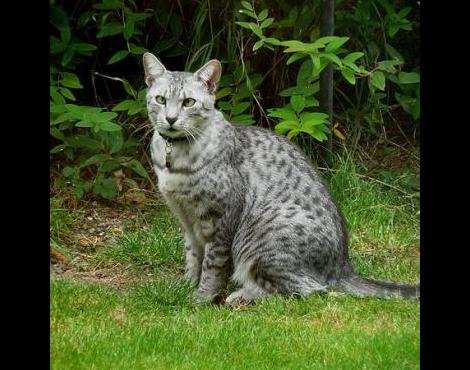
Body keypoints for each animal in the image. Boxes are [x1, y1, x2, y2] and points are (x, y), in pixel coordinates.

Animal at [142, 52, 418, 306]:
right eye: (160, 99)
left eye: (189, 102)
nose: (170, 119)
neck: (174, 158)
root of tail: (342, 267)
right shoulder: (187, 222)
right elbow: (192, 257)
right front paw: (186, 285)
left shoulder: (220, 221)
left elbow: (212, 265)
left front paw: (202, 298)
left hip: (262, 241)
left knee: (305, 291)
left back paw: (243, 295)